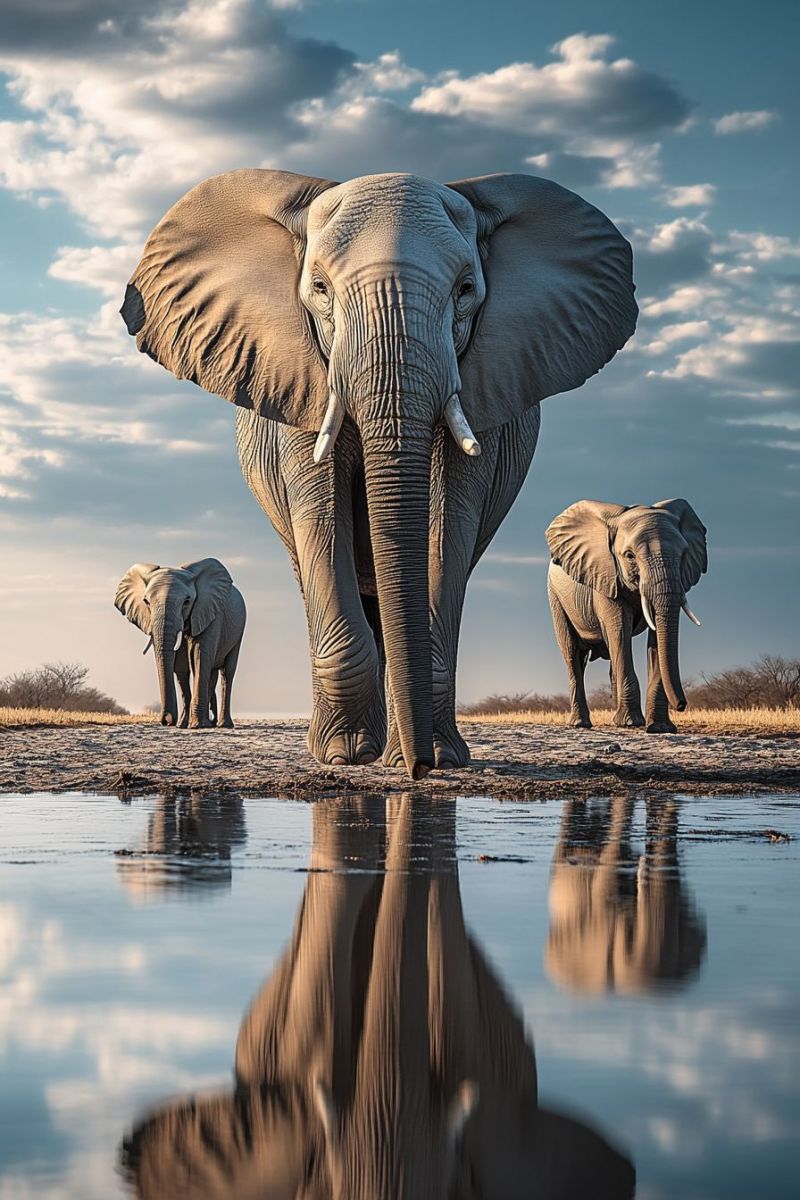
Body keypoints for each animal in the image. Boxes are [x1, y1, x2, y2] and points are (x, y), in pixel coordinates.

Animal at [112, 554, 244, 729]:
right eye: (146, 601)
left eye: (187, 601)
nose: (167, 720)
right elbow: (180, 666)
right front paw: (183, 725)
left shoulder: (211, 613)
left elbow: (199, 656)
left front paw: (197, 726)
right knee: (211, 674)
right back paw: (209, 723)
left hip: (239, 631)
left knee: (227, 672)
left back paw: (223, 724)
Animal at [544, 496, 705, 729]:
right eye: (629, 555)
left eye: (684, 555)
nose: (682, 705)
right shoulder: (605, 574)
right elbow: (619, 629)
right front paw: (631, 723)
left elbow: (656, 639)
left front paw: (660, 728)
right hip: (556, 597)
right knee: (573, 653)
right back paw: (581, 723)